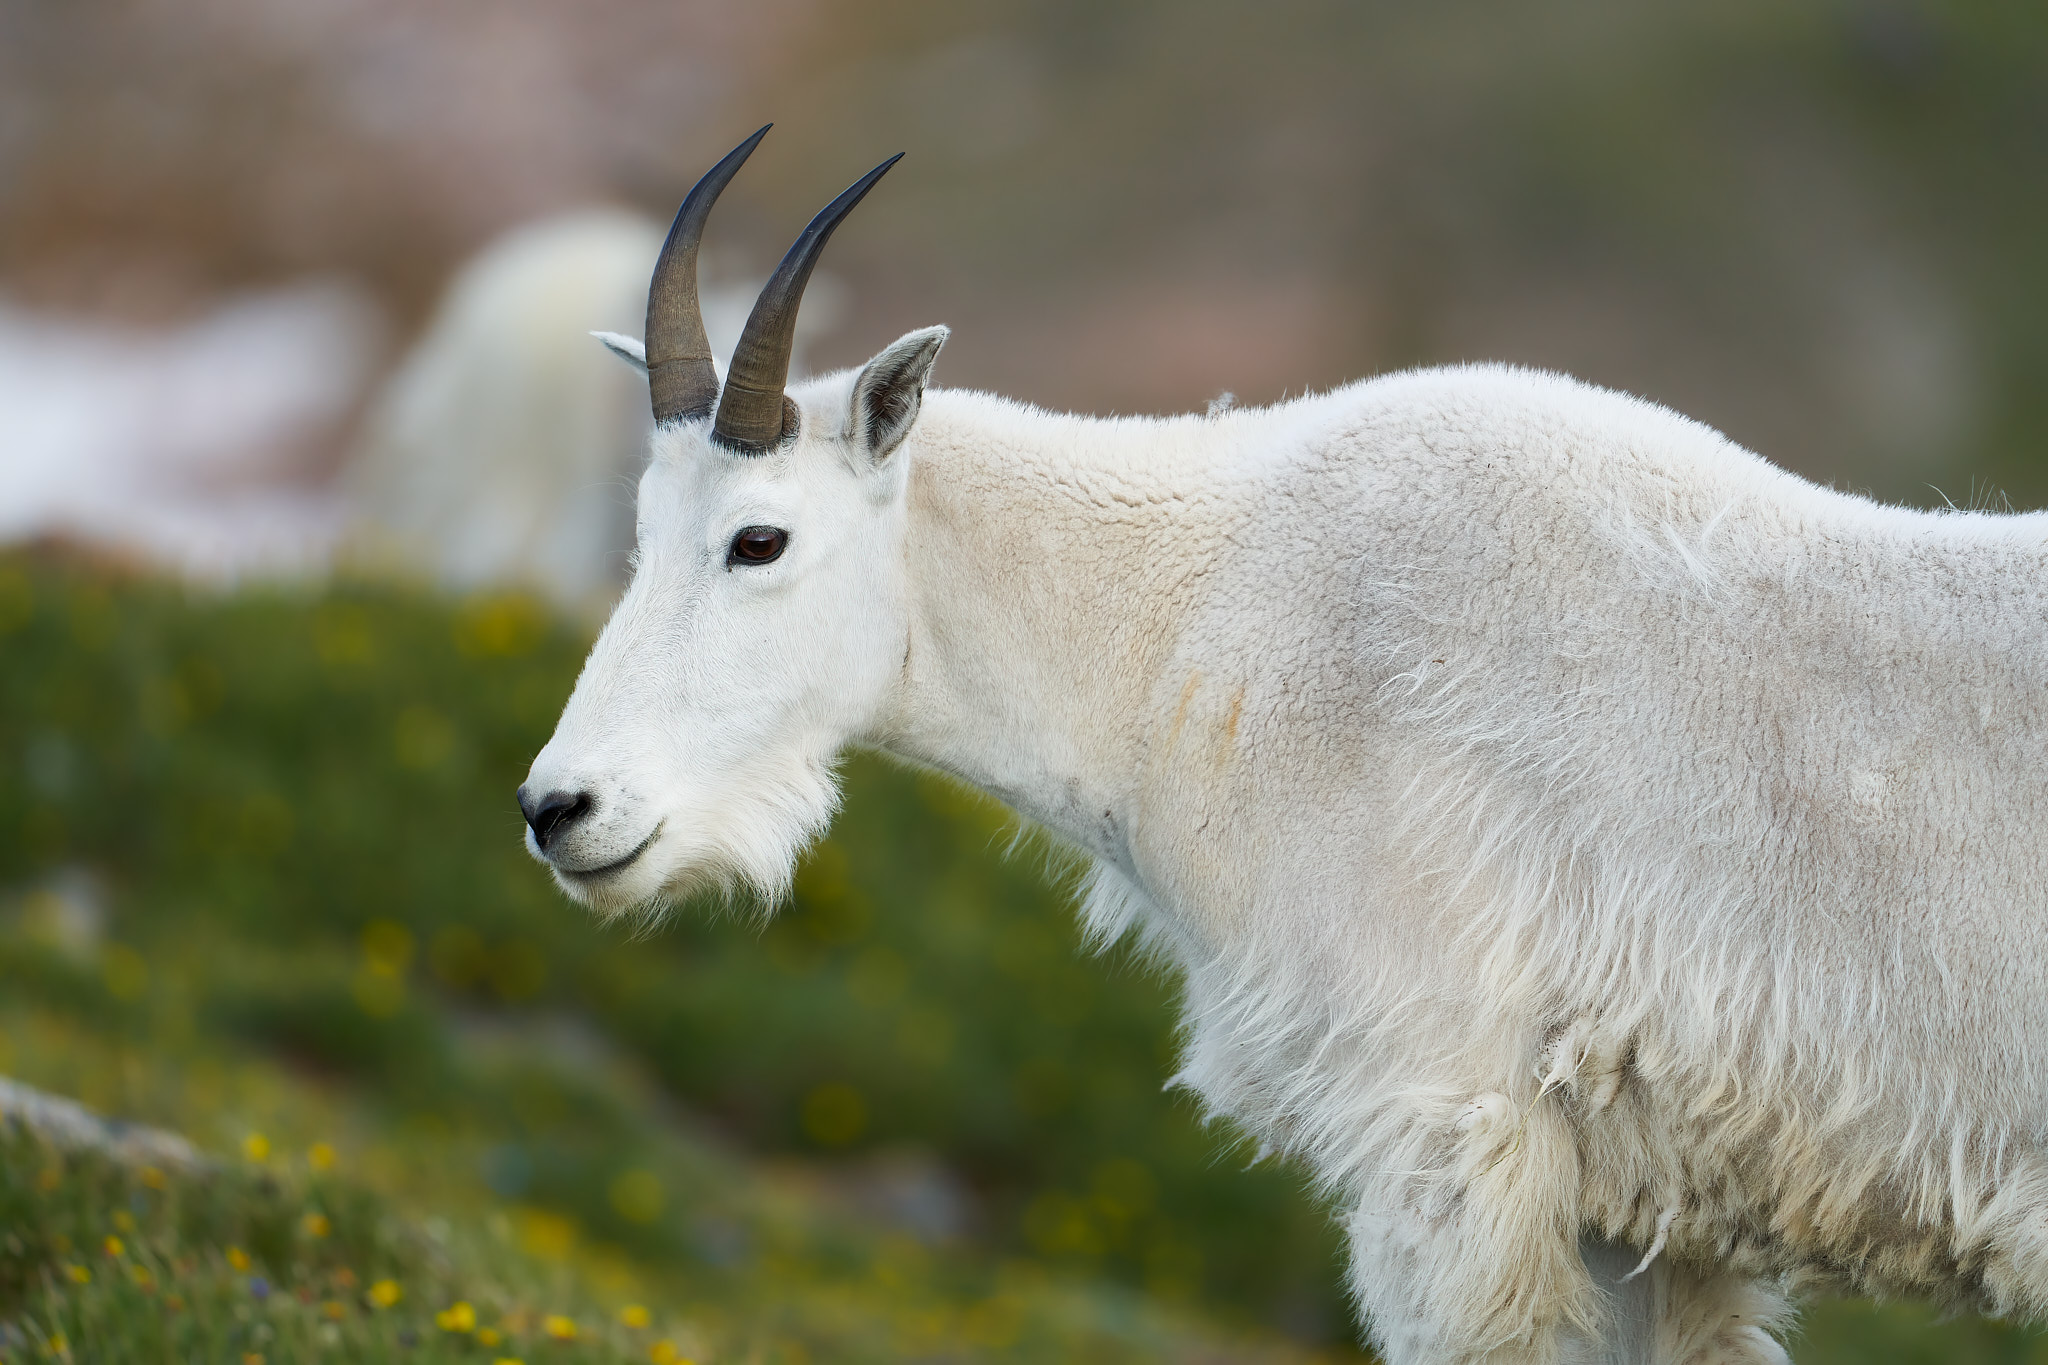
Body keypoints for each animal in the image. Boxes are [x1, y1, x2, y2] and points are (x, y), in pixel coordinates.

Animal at [520, 127, 2048, 1365]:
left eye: (758, 538)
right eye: (637, 530)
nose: (561, 809)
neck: (1197, 613)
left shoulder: (1442, 1128)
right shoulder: (1634, 1208)